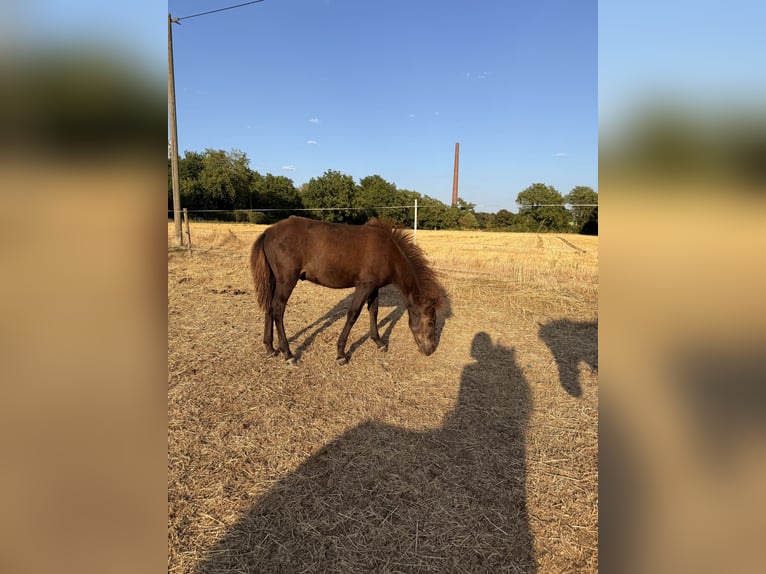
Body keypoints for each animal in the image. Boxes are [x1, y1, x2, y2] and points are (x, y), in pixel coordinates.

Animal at [249, 215, 445, 365]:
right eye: (431, 322)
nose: (429, 350)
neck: (388, 253)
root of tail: (268, 231)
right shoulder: (363, 286)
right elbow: (353, 314)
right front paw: (341, 353)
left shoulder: (373, 287)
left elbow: (373, 311)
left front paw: (379, 342)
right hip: (287, 281)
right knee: (278, 310)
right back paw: (288, 354)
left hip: (274, 281)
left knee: (269, 307)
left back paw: (270, 348)